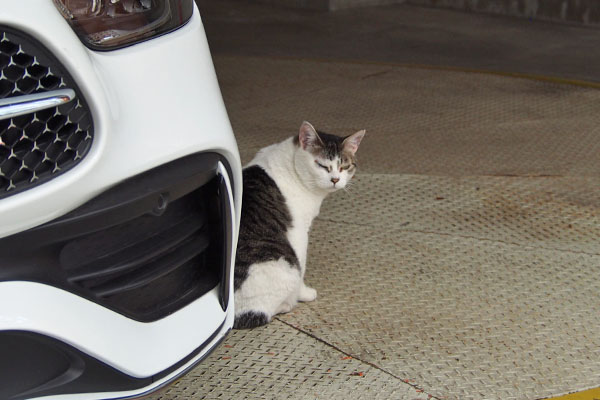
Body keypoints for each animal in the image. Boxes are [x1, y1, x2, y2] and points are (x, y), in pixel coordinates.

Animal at [233, 120, 366, 330]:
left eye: (344, 166)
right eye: (321, 165)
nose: (335, 180)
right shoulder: (300, 234)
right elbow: (302, 265)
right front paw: (305, 294)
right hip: (284, 266)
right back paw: (288, 303)